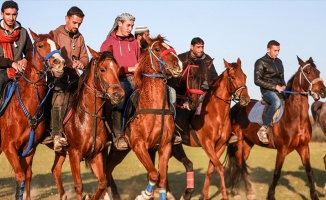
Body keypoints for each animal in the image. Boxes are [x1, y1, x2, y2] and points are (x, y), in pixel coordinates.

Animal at [0, 28, 65, 200]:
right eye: (41, 45)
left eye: (57, 46)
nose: (59, 63)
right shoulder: (9, 147)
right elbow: (20, 176)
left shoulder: (29, 148)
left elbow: (27, 175)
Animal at [47, 45, 125, 200]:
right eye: (102, 69)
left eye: (117, 68)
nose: (118, 94)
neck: (87, 118)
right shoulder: (74, 154)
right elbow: (79, 186)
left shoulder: (97, 154)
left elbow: (102, 183)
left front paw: (90, 196)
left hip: (60, 152)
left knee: (55, 170)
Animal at [102, 34, 183, 200]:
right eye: (157, 49)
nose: (179, 65)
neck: (154, 108)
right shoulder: (139, 145)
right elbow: (154, 174)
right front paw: (143, 195)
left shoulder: (165, 145)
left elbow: (162, 178)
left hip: (119, 151)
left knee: (108, 168)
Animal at [225, 56, 324, 200]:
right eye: (309, 72)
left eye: (318, 72)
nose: (323, 90)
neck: (295, 117)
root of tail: (236, 107)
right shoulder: (282, 150)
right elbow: (277, 173)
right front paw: (270, 196)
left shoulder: (304, 147)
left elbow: (309, 171)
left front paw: (314, 195)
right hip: (238, 143)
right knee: (240, 164)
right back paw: (247, 192)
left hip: (247, 144)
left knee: (240, 164)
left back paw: (235, 191)